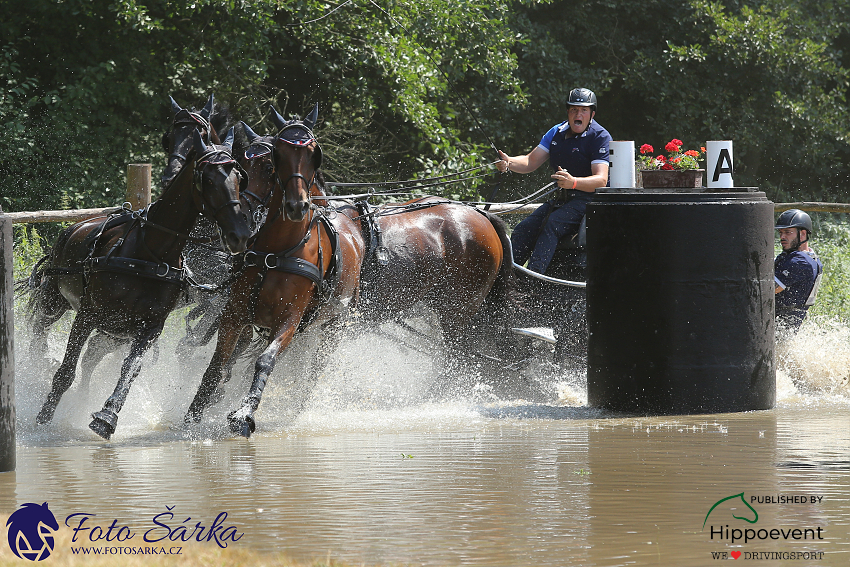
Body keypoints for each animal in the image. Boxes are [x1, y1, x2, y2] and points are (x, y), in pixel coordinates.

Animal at [26, 95, 252, 440]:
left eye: (239, 177)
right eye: (208, 179)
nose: (239, 232)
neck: (152, 252)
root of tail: (76, 225)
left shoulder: (149, 326)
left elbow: (130, 369)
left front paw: (107, 416)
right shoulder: (87, 314)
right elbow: (65, 372)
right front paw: (43, 418)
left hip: (117, 329)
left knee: (93, 356)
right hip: (57, 301)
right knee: (40, 330)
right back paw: (37, 366)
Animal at [186, 104, 364, 438]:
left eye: (313, 154)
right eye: (277, 157)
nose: (297, 205)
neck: (277, 250)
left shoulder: (290, 321)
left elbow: (265, 361)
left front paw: (244, 413)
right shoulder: (235, 314)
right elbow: (217, 365)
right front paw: (192, 414)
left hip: (332, 326)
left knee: (314, 370)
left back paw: (296, 408)